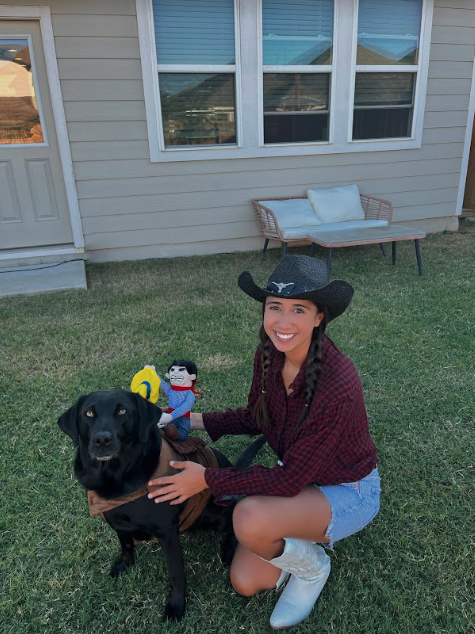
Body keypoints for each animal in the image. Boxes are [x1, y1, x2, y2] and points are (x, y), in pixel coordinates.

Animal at [58, 388, 266, 620]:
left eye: (122, 411)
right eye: (89, 413)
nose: (102, 439)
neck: (117, 478)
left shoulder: (167, 532)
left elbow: (176, 573)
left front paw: (176, 607)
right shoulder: (118, 522)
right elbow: (126, 545)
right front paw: (125, 565)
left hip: (217, 515)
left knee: (231, 526)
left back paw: (228, 552)